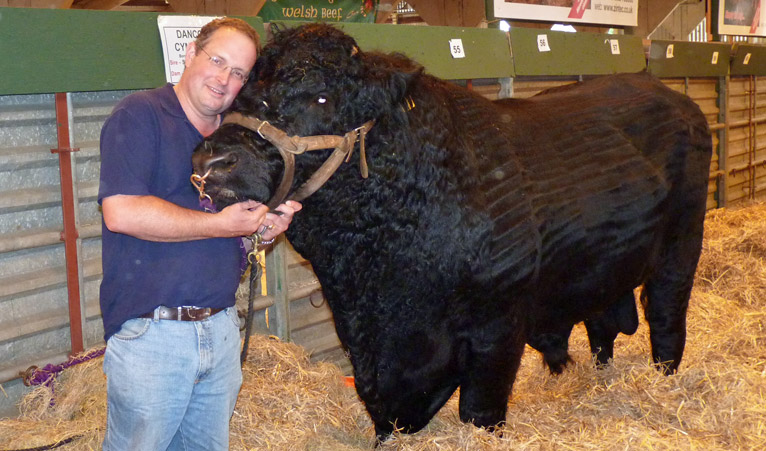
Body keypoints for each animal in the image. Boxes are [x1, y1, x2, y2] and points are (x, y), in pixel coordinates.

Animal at [191, 23, 712, 440]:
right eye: (240, 85)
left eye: (322, 96)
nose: (213, 159)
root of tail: (672, 96)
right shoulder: (368, 345)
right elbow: (385, 417)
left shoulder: (497, 328)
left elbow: (479, 411)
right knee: (603, 327)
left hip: (681, 250)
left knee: (666, 317)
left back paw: (665, 380)